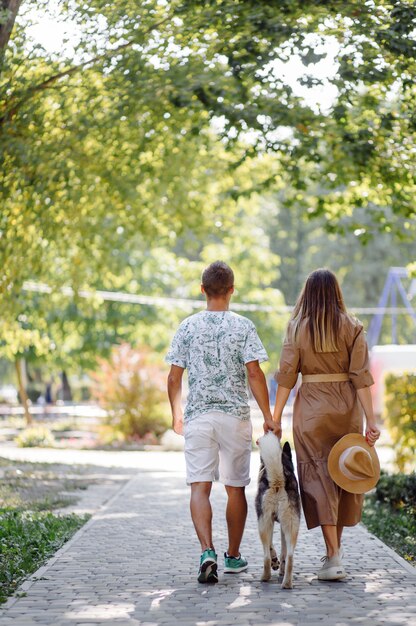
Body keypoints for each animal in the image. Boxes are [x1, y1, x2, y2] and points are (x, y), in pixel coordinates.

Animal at [255, 432, 300, 588]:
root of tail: (278, 482)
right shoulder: (280, 526)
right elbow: (283, 551)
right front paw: (280, 569)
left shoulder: (266, 521)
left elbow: (271, 546)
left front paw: (276, 563)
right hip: (292, 524)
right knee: (290, 556)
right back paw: (286, 583)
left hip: (263, 524)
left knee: (266, 556)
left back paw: (265, 577)